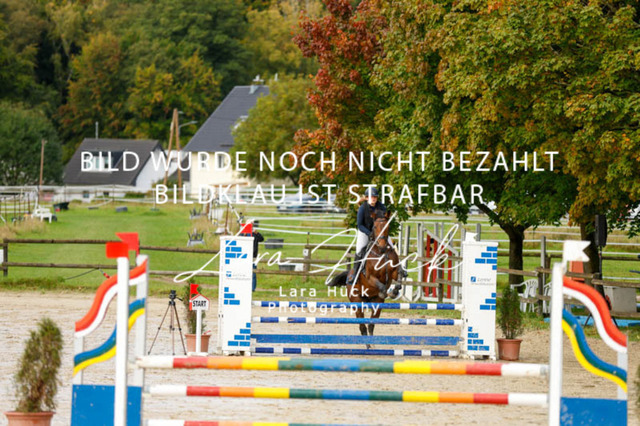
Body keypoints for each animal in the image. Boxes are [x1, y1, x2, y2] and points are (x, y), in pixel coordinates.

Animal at [329, 211, 401, 346]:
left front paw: (394, 291)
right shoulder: (370, 278)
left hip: (377, 304)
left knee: (371, 323)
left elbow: (398, 276)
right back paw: (367, 344)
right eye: (375, 227)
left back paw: (371, 343)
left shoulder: (394, 271)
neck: (381, 253)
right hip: (357, 301)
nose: (382, 246)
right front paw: (386, 292)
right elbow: (381, 285)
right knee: (362, 325)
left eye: (388, 227)